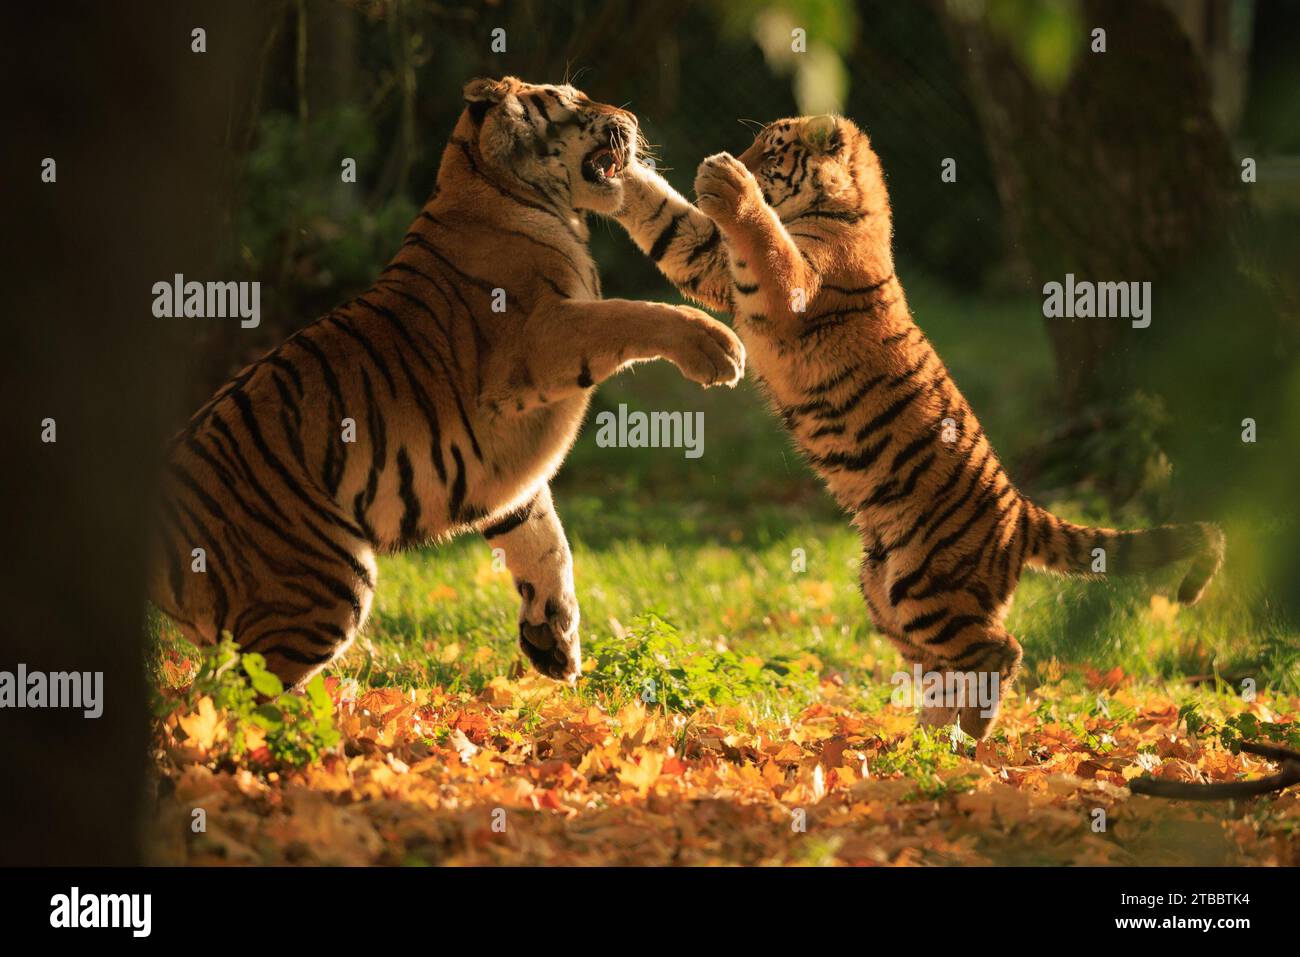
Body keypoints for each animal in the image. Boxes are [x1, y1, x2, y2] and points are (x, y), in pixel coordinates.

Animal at [147, 76, 744, 689]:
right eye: (570, 98)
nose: (630, 118)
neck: (493, 184)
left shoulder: (509, 471)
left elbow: (545, 541)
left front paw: (553, 643)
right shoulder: (543, 334)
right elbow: (631, 314)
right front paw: (715, 346)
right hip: (325, 582)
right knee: (228, 698)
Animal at [611, 114, 1223, 739]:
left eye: (773, 150)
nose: (737, 155)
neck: (841, 209)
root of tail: (1021, 510)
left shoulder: (787, 284)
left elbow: (763, 239)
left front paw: (728, 182)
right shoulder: (715, 265)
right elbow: (670, 224)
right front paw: (616, 164)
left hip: (930, 585)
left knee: (1000, 651)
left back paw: (962, 742)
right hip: (885, 593)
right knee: (945, 669)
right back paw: (922, 744)